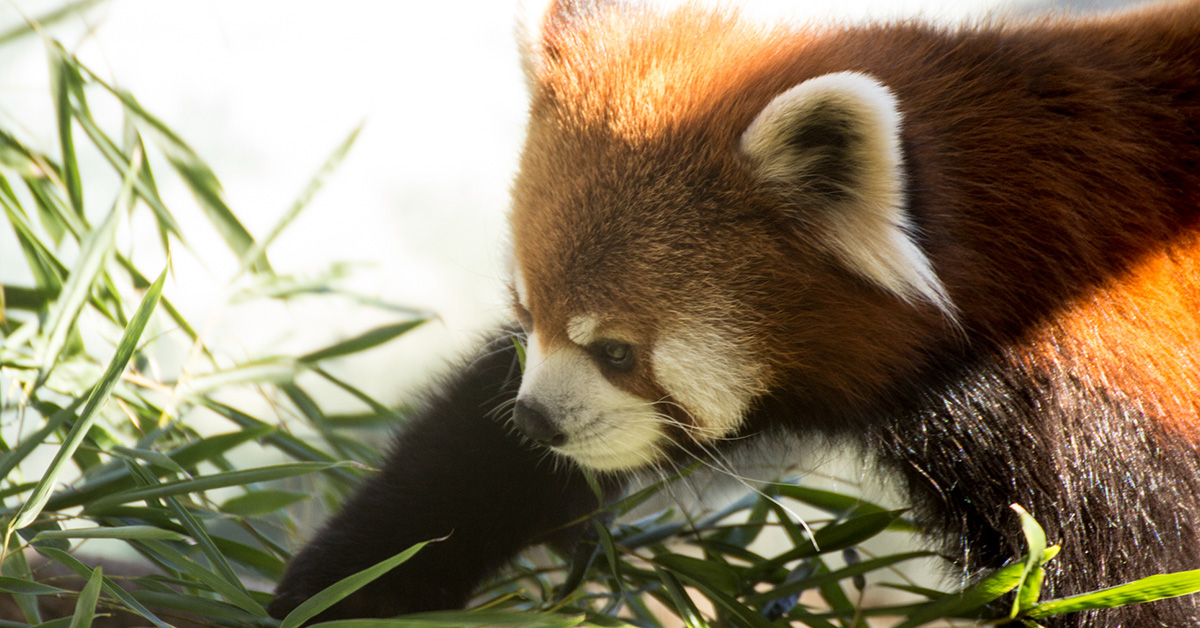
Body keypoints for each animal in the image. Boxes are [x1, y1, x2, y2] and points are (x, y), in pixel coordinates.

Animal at [272, 2, 1200, 624]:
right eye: (524, 309)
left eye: (619, 351)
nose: (537, 420)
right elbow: (478, 464)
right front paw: (342, 585)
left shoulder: (1105, 423)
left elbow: (1131, 582)